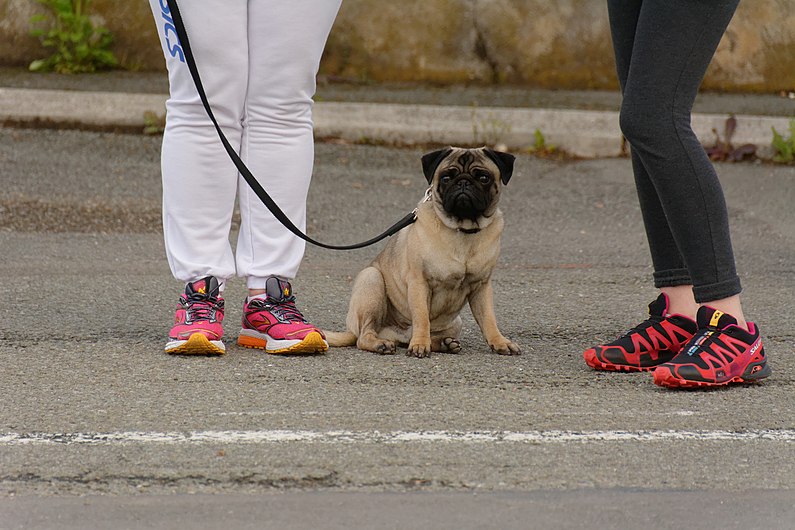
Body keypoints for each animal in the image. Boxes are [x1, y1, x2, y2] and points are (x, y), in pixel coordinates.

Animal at [324, 146, 524, 356]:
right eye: (446, 177)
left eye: (483, 177)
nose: (463, 182)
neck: (462, 230)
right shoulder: (419, 282)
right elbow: (421, 317)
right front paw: (420, 344)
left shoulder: (481, 286)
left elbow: (489, 320)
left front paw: (500, 342)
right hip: (371, 281)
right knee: (364, 335)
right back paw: (383, 344)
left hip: (456, 323)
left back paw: (445, 343)